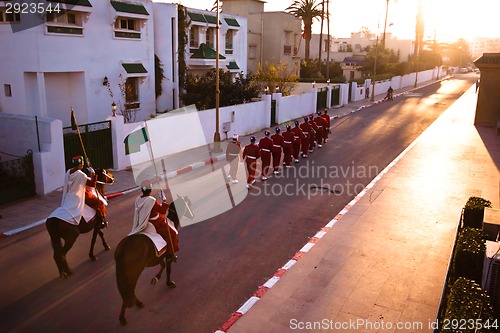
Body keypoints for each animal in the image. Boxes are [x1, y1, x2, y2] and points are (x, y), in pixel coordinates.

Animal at [114, 193, 193, 326]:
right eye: (188, 204)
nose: (193, 216)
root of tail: (123, 248)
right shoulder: (168, 253)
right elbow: (168, 268)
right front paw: (169, 283)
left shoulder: (159, 254)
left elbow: (162, 265)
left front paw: (156, 278)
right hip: (135, 272)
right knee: (130, 289)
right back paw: (128, 312)